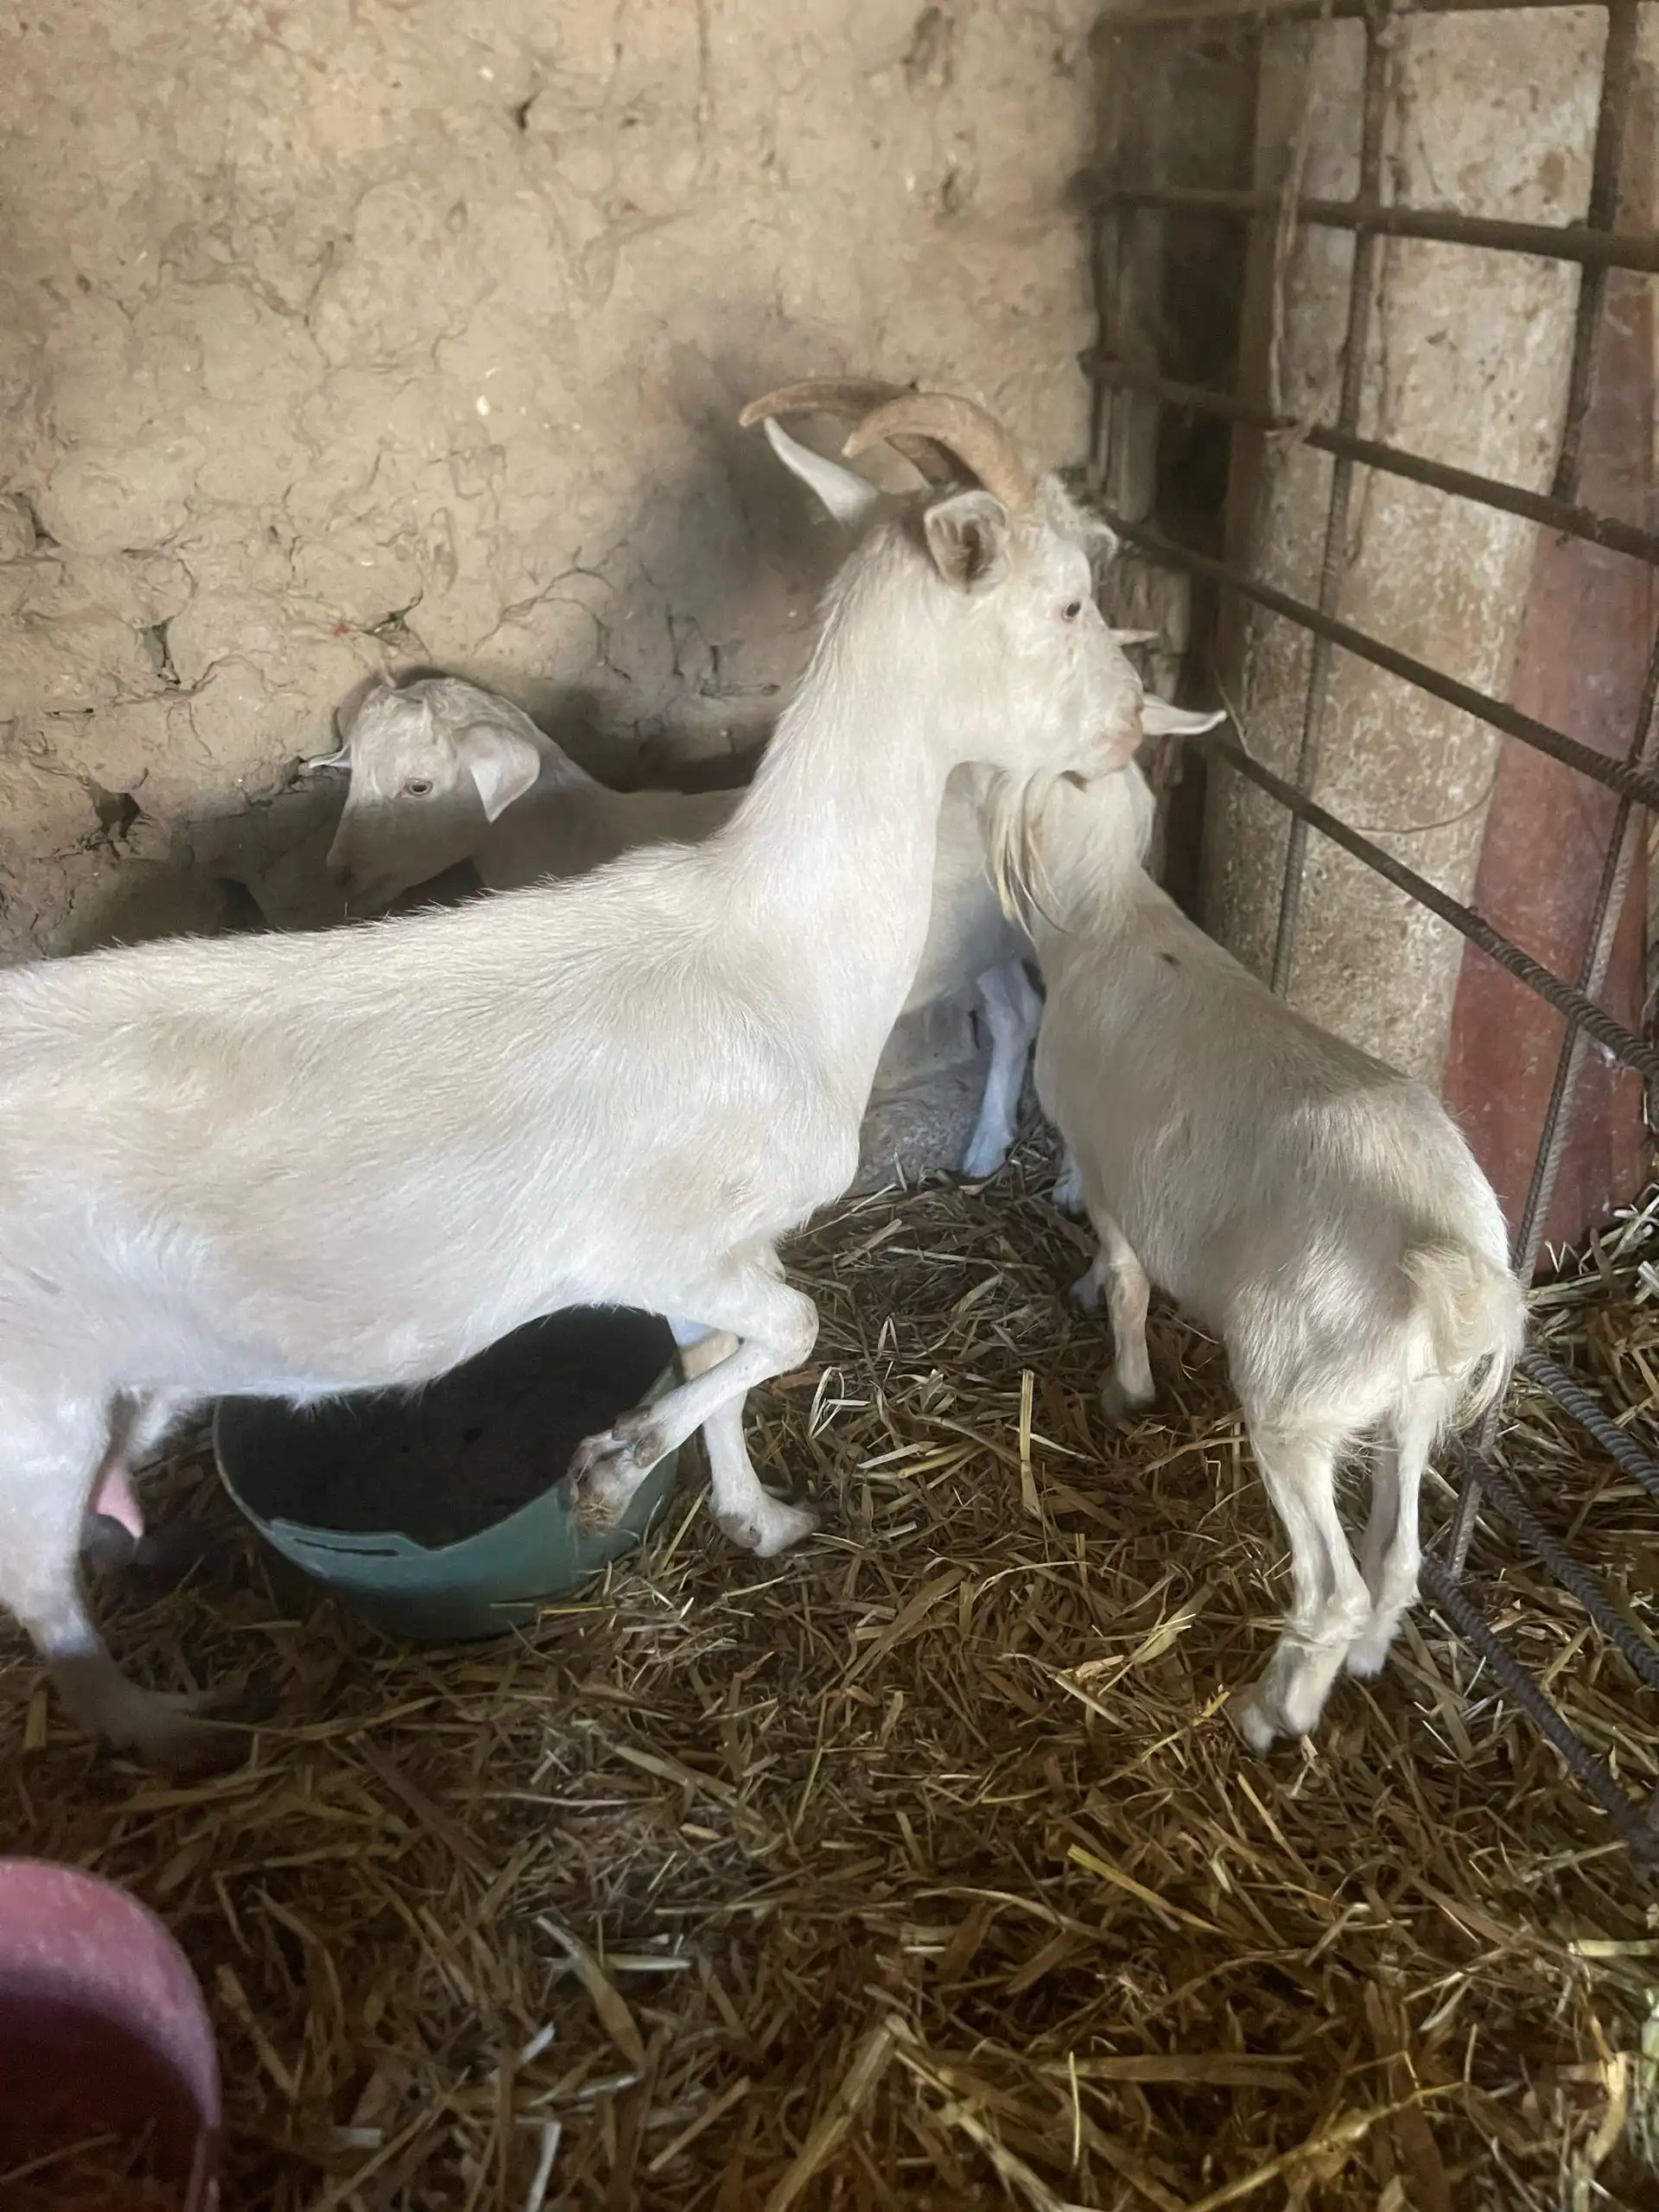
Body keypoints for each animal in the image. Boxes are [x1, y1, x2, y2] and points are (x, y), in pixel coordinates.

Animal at [322, 672, 1041, 1180]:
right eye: (354, 774)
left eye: (418, 786)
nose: (341, 876)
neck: (572, 830)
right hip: (980, 940)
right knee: (1016, 1014)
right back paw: (987, 1147)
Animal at [1027, 766, 1524, 1749]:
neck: (1116, 919)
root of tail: (1455, 1264)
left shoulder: (1109, 1167)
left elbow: (1129, 1278)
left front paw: (1122, 1383)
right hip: (1414, 1401)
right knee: (1399, 1557)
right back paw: (1366, 1658)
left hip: (1297, 1398)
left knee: (1335, 1589)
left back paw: (1271, 1712)